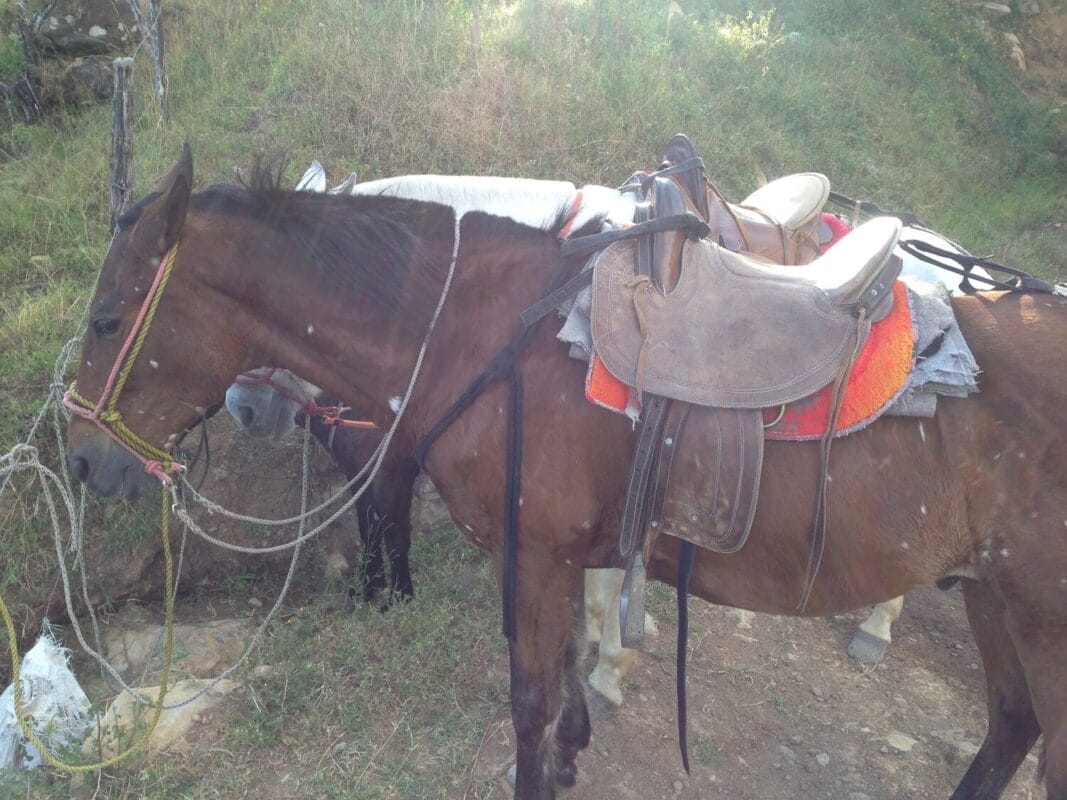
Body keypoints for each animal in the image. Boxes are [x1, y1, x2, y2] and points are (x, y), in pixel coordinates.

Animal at [66, 147, 1067, 797]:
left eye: (110, 318)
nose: (81, 460)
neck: (487, 325)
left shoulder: (536, 554)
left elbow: (531, 697)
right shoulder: (567, 552)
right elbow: (565, 676)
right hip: (993, 596)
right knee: (1009, 725)